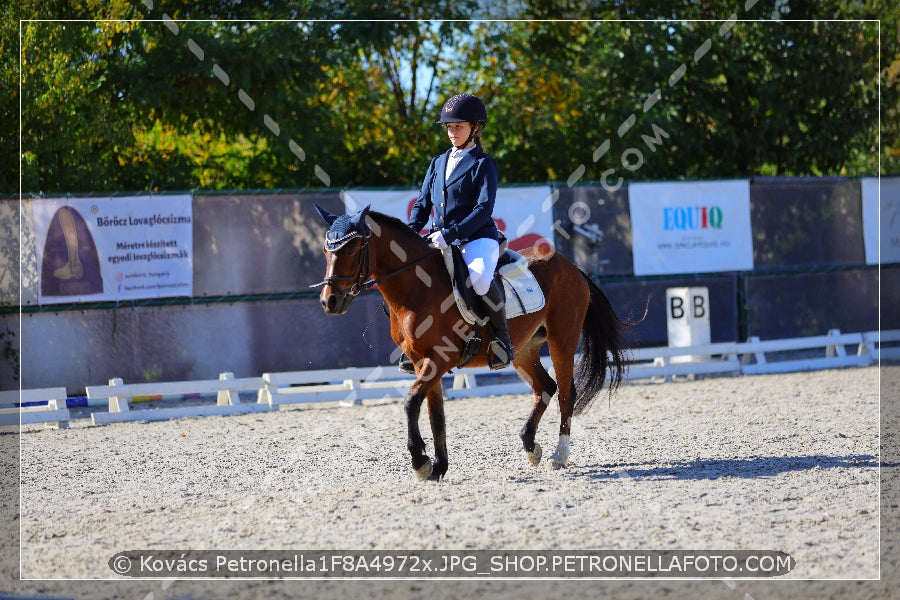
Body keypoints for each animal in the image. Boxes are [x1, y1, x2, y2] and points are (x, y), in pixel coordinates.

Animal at [312, 206, 628, 482]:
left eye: (351, 249)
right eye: (326, 251)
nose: (330, 301)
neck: (417, 288)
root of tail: (571, 267)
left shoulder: (440, 358)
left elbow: (411, 402)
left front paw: (421, 463)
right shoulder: (422, 362)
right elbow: (436, 414)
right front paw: (439, 467)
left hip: (562, 340)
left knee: (565, 393)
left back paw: (559, 455)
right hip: (523, 350)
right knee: (545, 387)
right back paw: (531, 447)